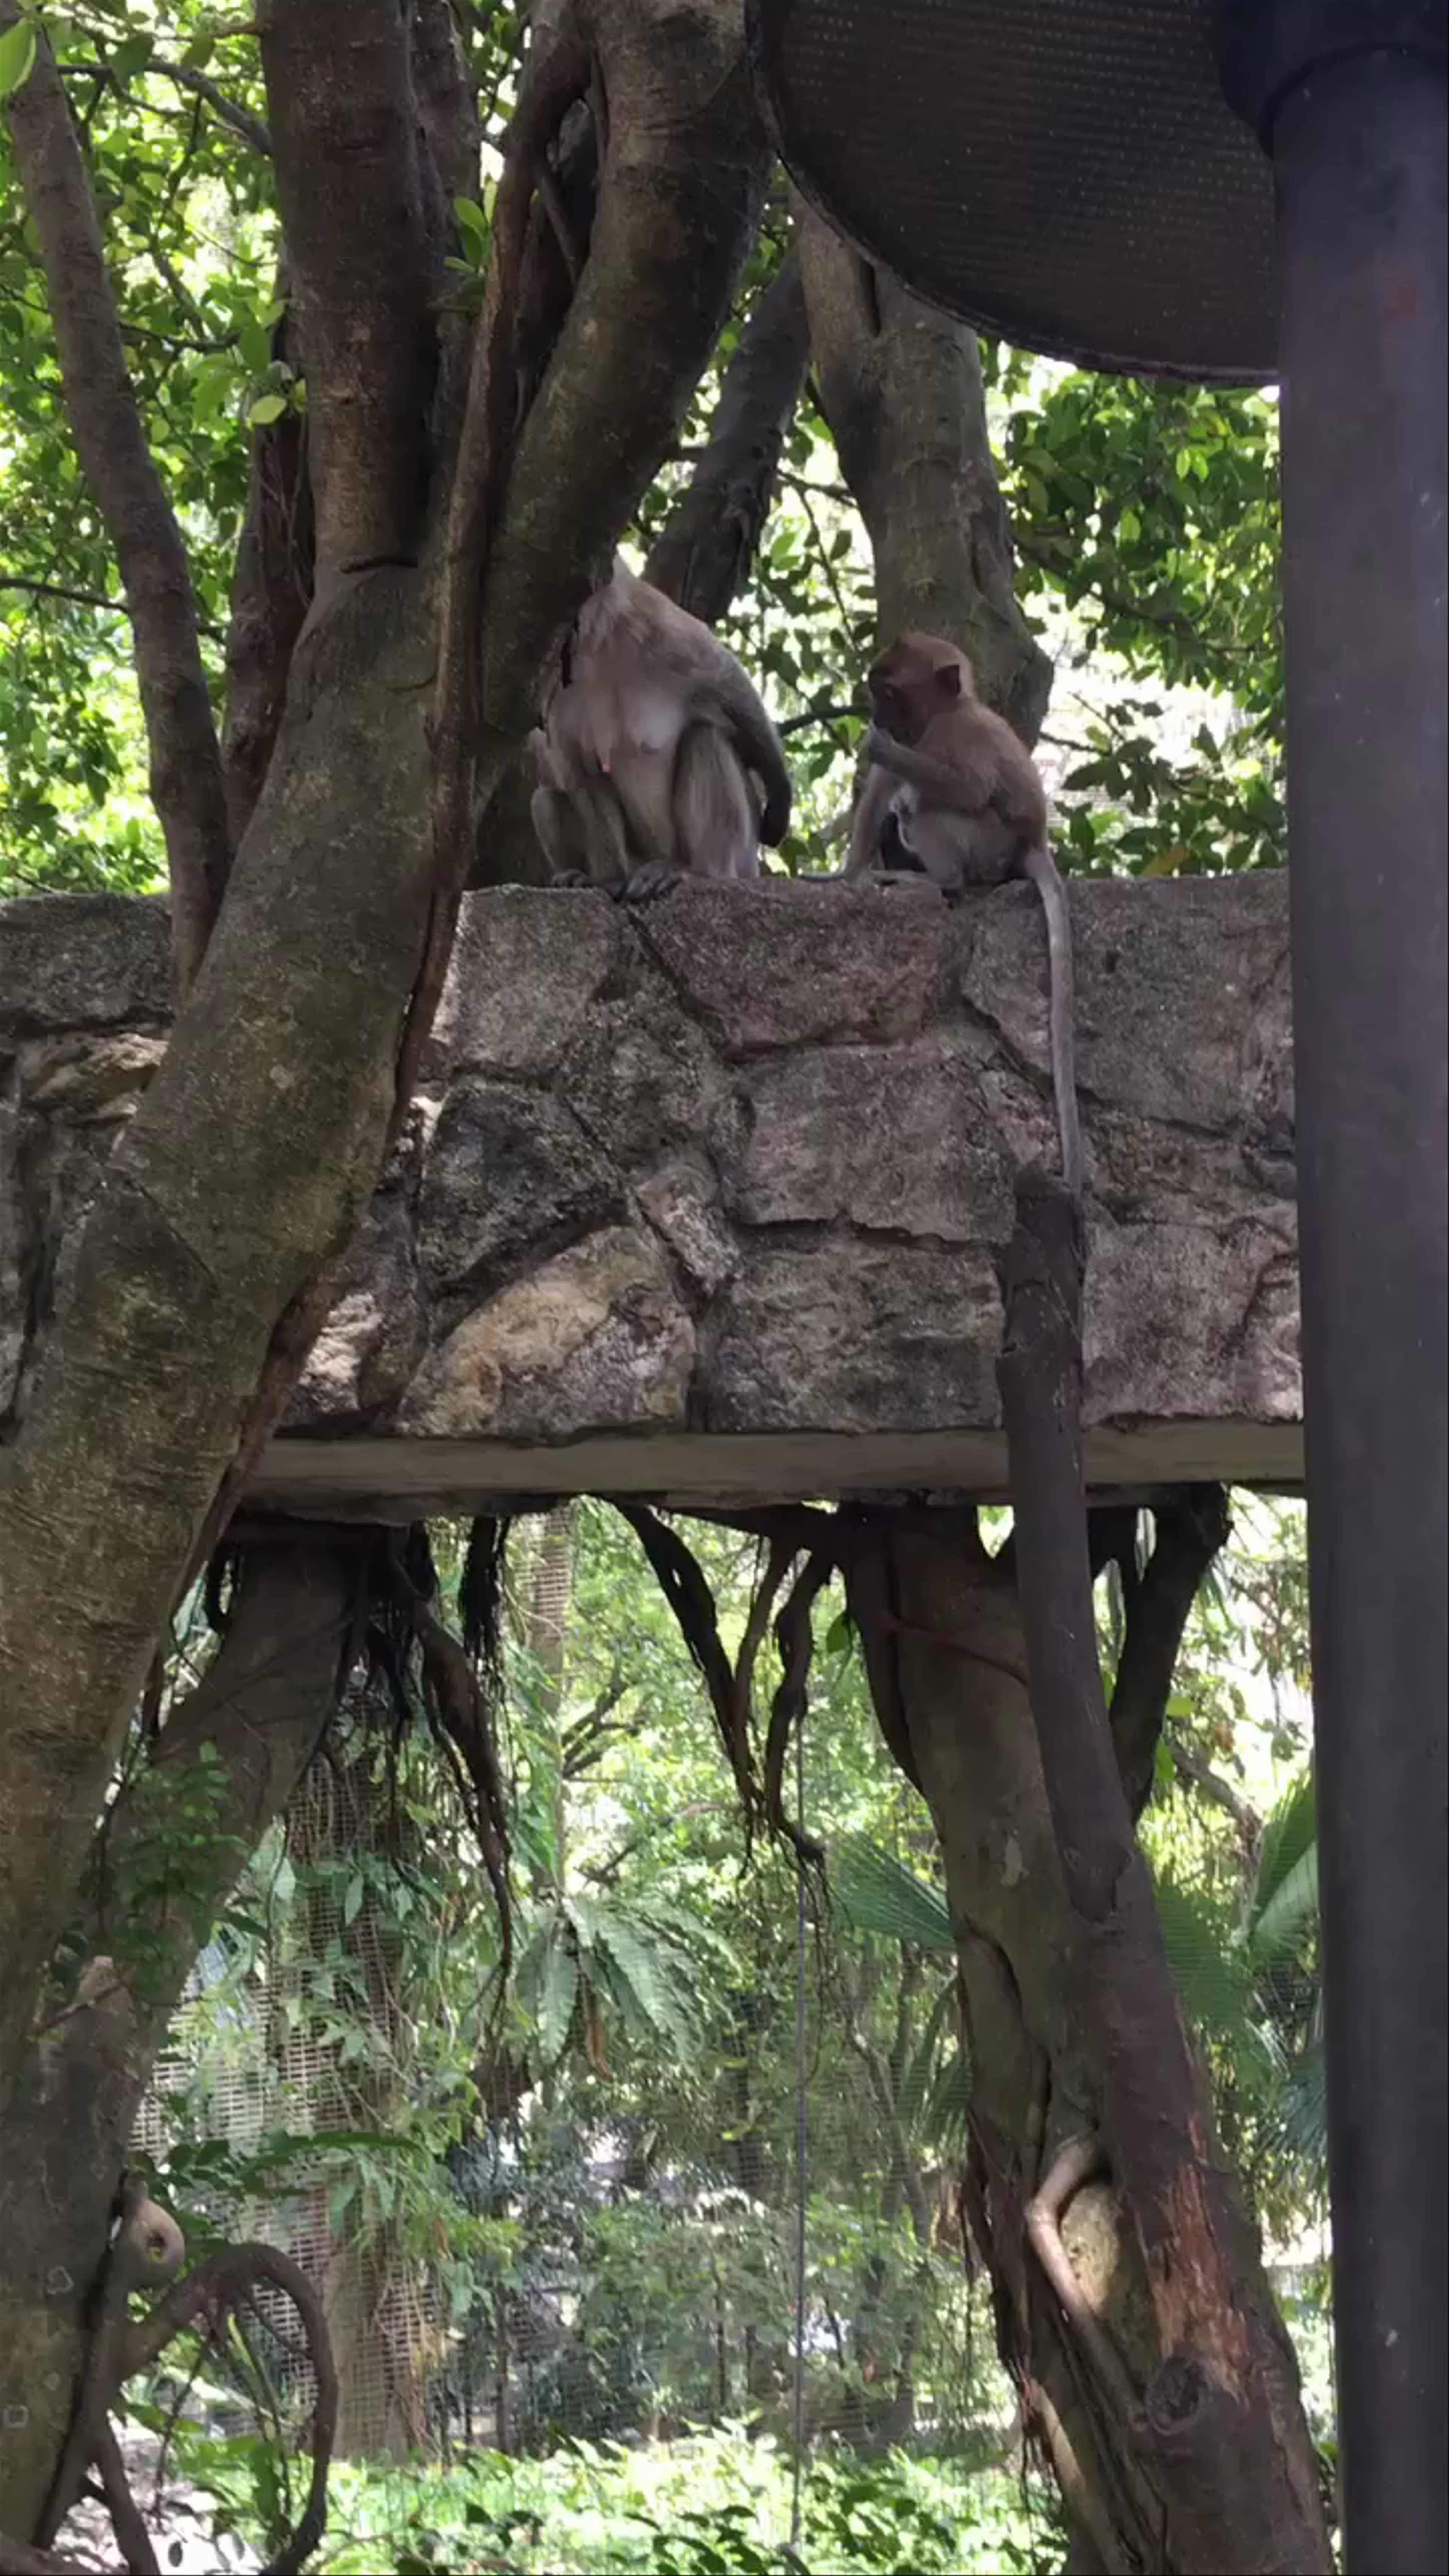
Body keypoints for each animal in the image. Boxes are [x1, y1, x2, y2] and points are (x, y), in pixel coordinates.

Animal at [530, 554, 792, 900]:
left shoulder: (656, 628)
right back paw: (581, 875)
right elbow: (583, 770)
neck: (597, 651)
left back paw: (699, 872)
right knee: (545, 799)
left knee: (706, 739)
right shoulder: (556, 692)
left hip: (740, 859)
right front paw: (608, 879)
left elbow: (729, 683)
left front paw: (780, 793)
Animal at [846, 631, 1082, 1200]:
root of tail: (1031, 843)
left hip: (986, 846)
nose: (877, 717)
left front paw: (885, 750)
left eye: (891, 692)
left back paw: (939, 880)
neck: (946, 712)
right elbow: (882, 787)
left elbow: (967, 785)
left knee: (935, 807)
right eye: (876, 689)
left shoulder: (959, 735)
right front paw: (841, 874)